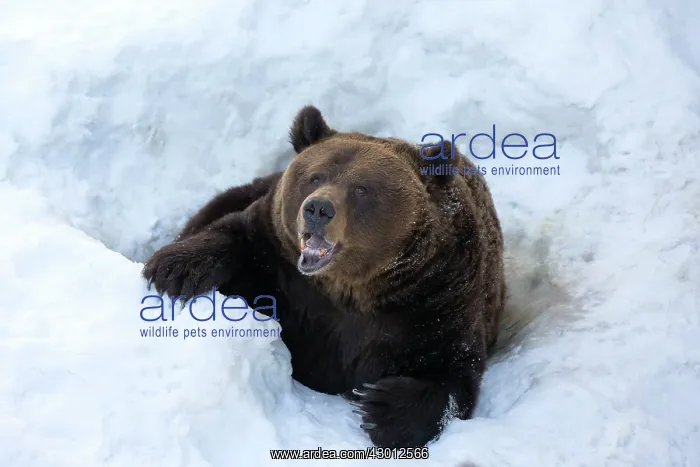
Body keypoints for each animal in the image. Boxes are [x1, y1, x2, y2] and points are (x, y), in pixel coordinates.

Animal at [142, 105, 506, 448]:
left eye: (361, 189)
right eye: (315, 176)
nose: (318, 208)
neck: (349, 287)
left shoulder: (437, 299)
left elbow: (454, 375)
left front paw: (380, 406)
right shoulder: (278, 261)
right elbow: (231, 234)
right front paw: (173, 269)